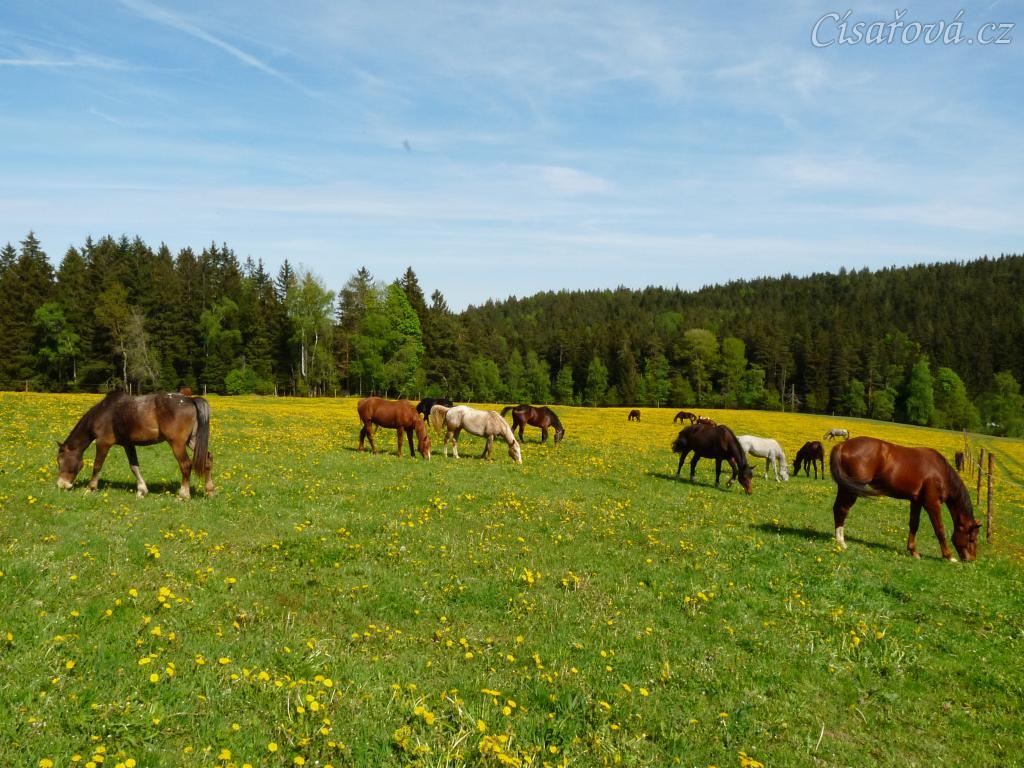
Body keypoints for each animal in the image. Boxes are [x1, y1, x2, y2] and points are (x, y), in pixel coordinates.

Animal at [56, 391, 213, 499]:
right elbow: (134, 467)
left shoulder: (102, 443)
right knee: (208, 459)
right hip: (192, 441)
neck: (104, 412)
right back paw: (210, 491)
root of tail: (190, 400)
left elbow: (97, 466)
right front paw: (142, 490)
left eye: (60, 461)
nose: (61, 485)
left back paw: (184, 495)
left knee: (186, 465)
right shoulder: (128, 444)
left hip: (177, 444)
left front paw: (90, 488)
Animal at [830, 437, 980, 561]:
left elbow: (914, 524)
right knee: (842, 510)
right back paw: (841, 542)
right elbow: (940, 529)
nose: (972, 559)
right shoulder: (932, 503)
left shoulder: (916, 501)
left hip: (844, 487)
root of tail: (843, 445)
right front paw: (948, 556)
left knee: (837, 509)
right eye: (972, 538)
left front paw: (913, 551)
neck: (941, 472)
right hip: (851, 490)